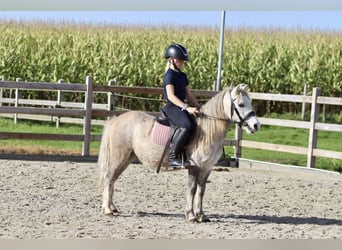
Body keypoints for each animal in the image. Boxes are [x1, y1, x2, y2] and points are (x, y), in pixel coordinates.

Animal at [97, 84, 260, 223]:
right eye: (241, 105)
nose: (256, 125)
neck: (207, 131)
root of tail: (116, 119)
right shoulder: (194, 166)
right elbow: (192, 189)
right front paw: (191, 215)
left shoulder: (206, 168)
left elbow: (201, 190)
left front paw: (202, 215)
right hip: (119, 157)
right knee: (109, 178)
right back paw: (107, 210)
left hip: (126, 158)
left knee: (112, 180)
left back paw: (113, 208)